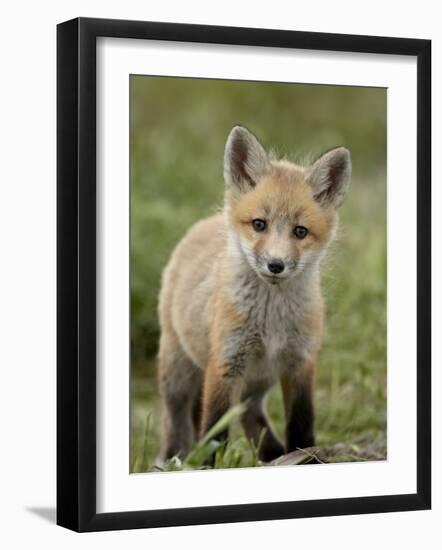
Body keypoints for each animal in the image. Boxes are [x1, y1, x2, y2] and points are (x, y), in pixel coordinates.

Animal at [157, 126, 350, 466]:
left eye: (300, 232)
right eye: (259, 224)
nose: (276, 264)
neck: (271, 320)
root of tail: (203, 223)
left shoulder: (300, 363)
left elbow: (301, 425)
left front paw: (306, 457)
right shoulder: (224, 363)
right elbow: (213, 430)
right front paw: (208, 467)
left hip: (257, 382)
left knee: (251, 416)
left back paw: (272, 455)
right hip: (178, 373)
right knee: (176, 422)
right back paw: (170, 461)